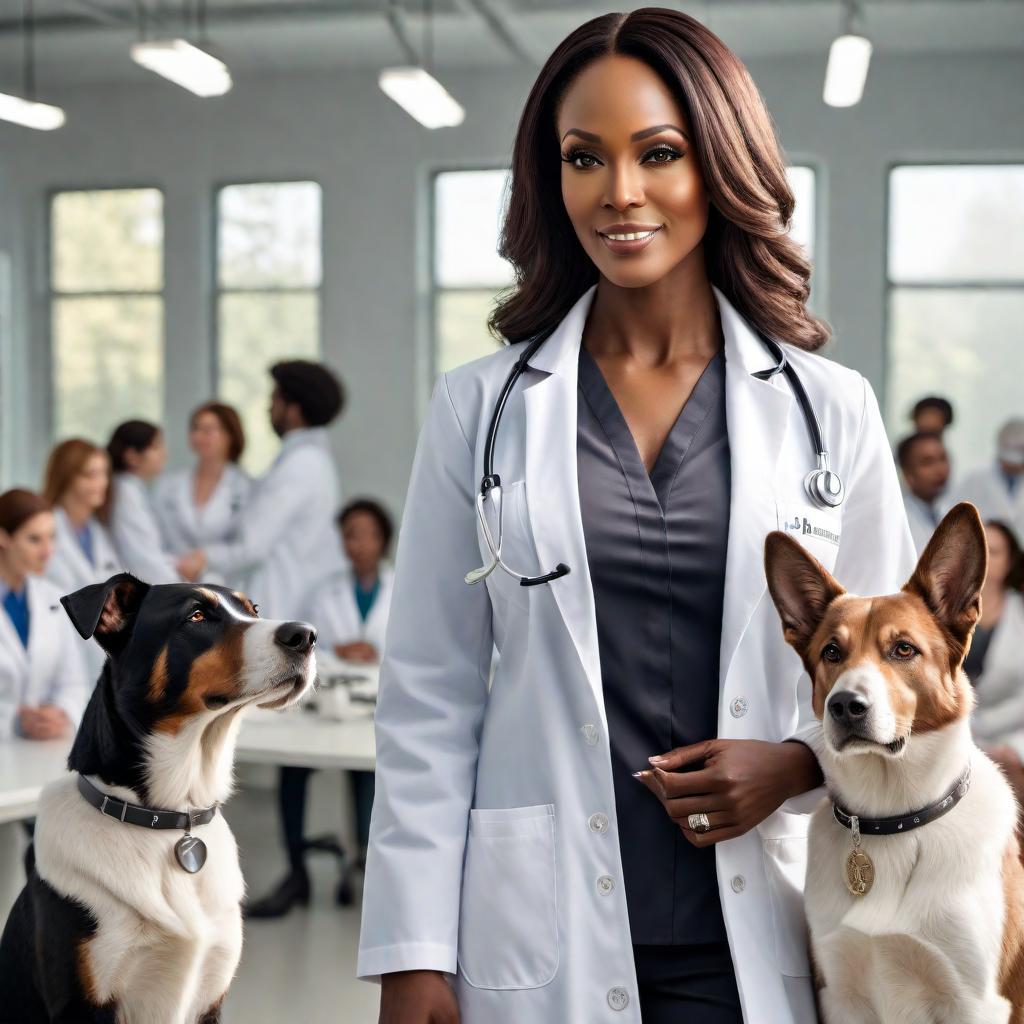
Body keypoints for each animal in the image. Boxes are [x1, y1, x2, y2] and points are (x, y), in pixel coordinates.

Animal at [0, 573, 317, 1019]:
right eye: (197, 615)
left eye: (253, 611)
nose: (305, 635)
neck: (163, 817)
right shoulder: (83, 1002)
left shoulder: (210, 997)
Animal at [765, 503, 1024, 1024]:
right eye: (831, 652)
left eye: (903, 648)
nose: (845, 706)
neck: (894, 817)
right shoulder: (840, 996)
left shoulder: (976, 1003)